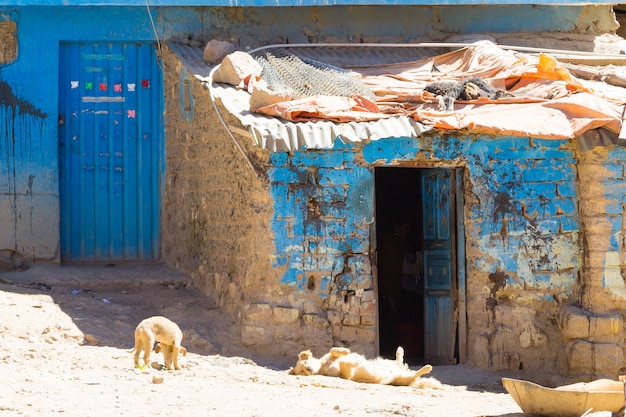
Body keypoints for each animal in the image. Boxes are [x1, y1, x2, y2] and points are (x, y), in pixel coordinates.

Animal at [288, 344, 444, 386]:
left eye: (305, 363)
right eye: (301, 371)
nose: (308, 369)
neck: (323, 365)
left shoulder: (330, 356)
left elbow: (334, 350)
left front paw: (345, 351)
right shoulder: (345, 375)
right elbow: (345, 364)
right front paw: (353, 360)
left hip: (386, 362)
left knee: (399, 362)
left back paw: (400, 350)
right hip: (401, 378)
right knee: (413, 375)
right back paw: (427, 367)